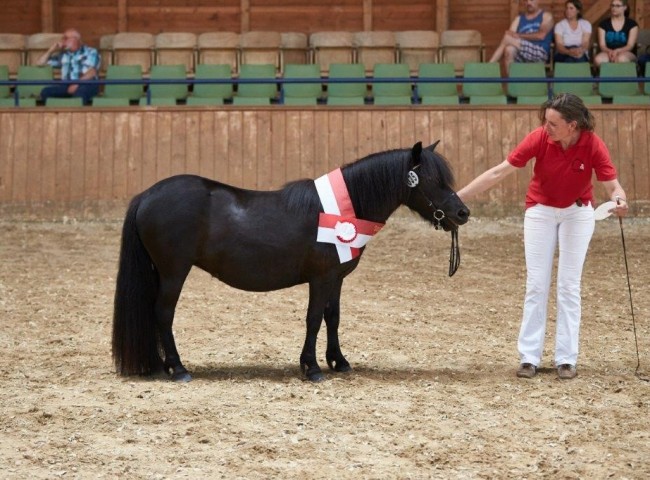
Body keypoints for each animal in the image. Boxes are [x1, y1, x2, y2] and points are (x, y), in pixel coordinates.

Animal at [112, 141, 470, 382]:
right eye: (432, 181)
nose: (462, 213)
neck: (342, 210)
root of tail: (146, 195)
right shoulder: (320, 278)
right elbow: (313, 319)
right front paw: (311, 367)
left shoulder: (336, 278)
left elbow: (332, 317)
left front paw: (338, 361)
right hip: (174, 272)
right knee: (163, 313)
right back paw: (178, 368)